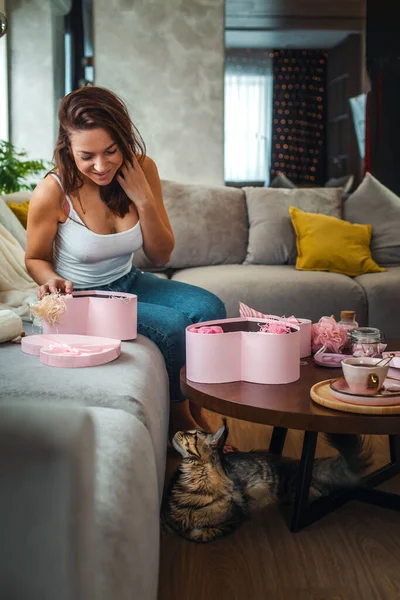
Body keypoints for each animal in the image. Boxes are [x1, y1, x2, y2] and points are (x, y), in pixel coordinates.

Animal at [162, 422, 372, 544]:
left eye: (192, 435)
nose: (177, 430)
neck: (194, 479)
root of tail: (296, 463)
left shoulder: (232, 520)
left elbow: (200, 533)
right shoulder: (167, 514)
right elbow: (172, 525)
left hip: (293, 486)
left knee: (320, 492)